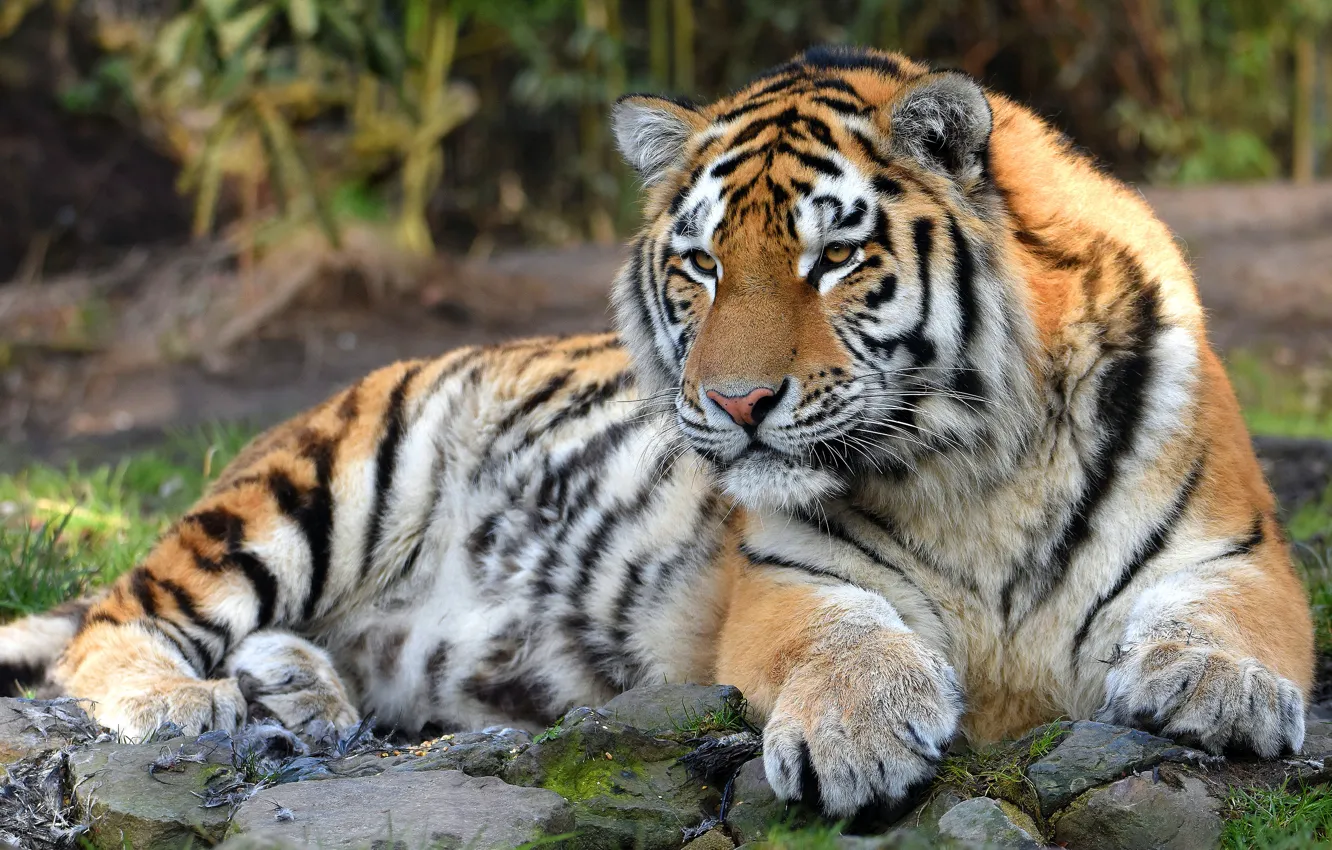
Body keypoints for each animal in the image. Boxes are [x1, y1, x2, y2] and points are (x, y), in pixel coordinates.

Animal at [0, 46, 1313, 819]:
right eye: (701, 264)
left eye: (833, 258)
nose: (735, 403)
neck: (971, 460)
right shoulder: (790, 577)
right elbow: (845, 642)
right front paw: (850, 739)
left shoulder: (1239, 550)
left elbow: (1229, 622)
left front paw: (1216, 692)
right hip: (325, 477)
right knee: (114, 622)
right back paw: (189, 704)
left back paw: (302, 693)